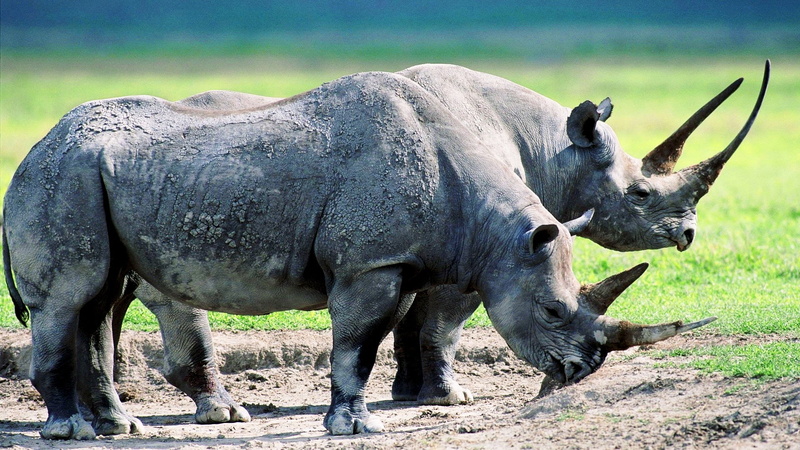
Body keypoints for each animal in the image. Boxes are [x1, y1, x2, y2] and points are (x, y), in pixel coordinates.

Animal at [3, 69, 715, 439]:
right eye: (551, 313)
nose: (582, 369)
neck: (493, 229)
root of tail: (34, 147)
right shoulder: (369, 264)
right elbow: (358, 343)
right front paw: (357, 426)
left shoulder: (400, 260)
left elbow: (377, 340)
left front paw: (366, 411)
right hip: (61, 176)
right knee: (70, 298)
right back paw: (69, 431)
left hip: (95, 176)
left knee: (99, 300)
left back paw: (120, 428)